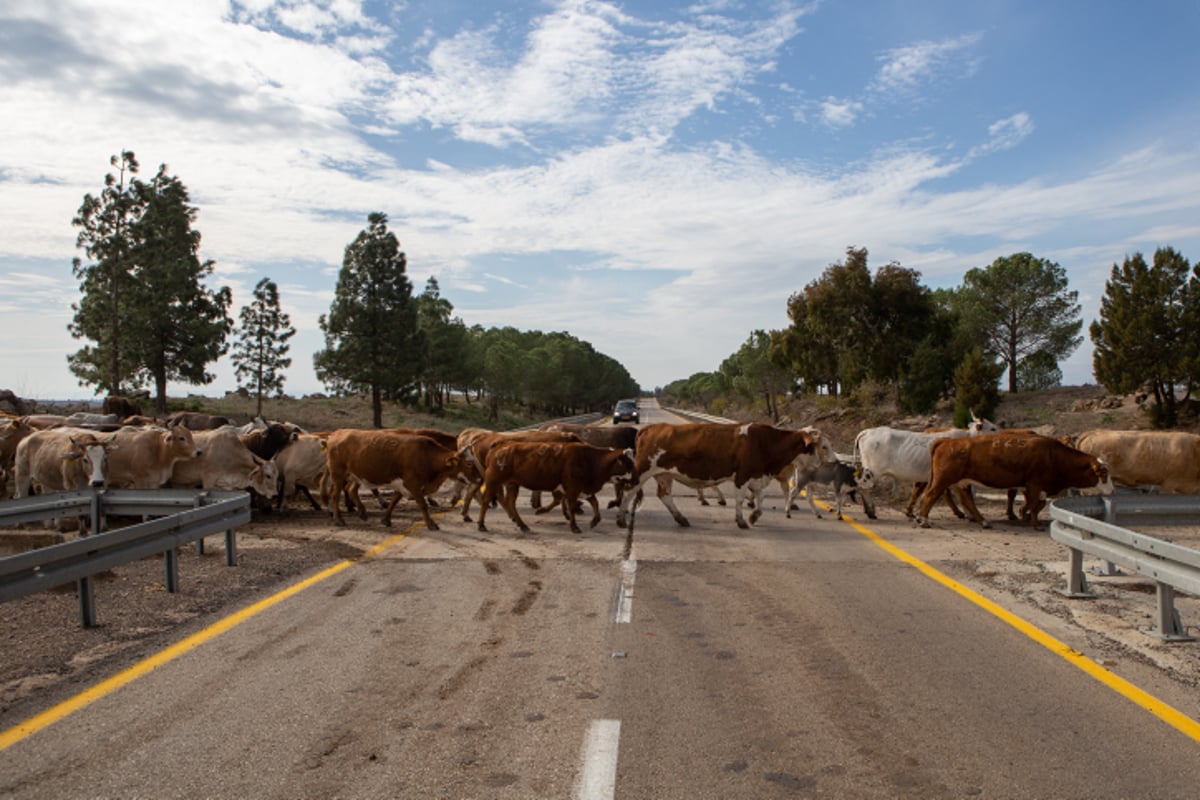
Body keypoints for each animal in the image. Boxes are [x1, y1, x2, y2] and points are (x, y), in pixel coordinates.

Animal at [324, 431, 472, 532]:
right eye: (468, 464)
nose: (477, 478)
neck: (426, 455)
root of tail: (336, 434)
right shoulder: (413, 485)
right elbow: (423, 505)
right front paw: (431, 524)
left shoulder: (403, 485)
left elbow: (394, 501)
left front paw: (386, 519)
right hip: (338, 476)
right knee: (335, 495)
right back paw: (338, 520)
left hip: (356, 476)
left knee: (351, 489)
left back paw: (362, 512)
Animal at [475, 441, 638, 534]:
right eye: (629, 464)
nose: (636, 480)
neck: (591, 460)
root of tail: (500, 447)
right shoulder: (572, 488)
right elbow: (572, 506)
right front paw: (574, 527)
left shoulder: (584, 489)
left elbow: (595, 503)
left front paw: (594, 520)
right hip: (493, 482)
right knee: (486, 501)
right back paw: (481, 525)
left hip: (512, 484)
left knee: (511, 503)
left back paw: (522, 525)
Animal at [619, 422, 816, 534]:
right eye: (812, 447)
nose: (817, 465)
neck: (766, 442)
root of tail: (650, 427)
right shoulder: (742, 476)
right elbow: (740, 499)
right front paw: (741, 521)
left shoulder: (756, 476)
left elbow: (761, 498)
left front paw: (754, 516)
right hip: (643, 471)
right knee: (629, 490)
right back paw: (621, 519)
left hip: (664, 475)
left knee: (664, 495)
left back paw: (681, 518)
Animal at [916, 431, 1113, 532]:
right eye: (1103, 473)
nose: (1112, 490)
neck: (1053, 455)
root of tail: (946, 441)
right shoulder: (1034, 485)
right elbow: (1034, 504)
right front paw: (1035, 523)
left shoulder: (1033, 487)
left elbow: (1037, 504)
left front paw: (1023, 514)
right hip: (943, 480)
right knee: (931, 495)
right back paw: (924, 520)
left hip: (962, 482)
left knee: (967, 500)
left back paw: (983, 521)